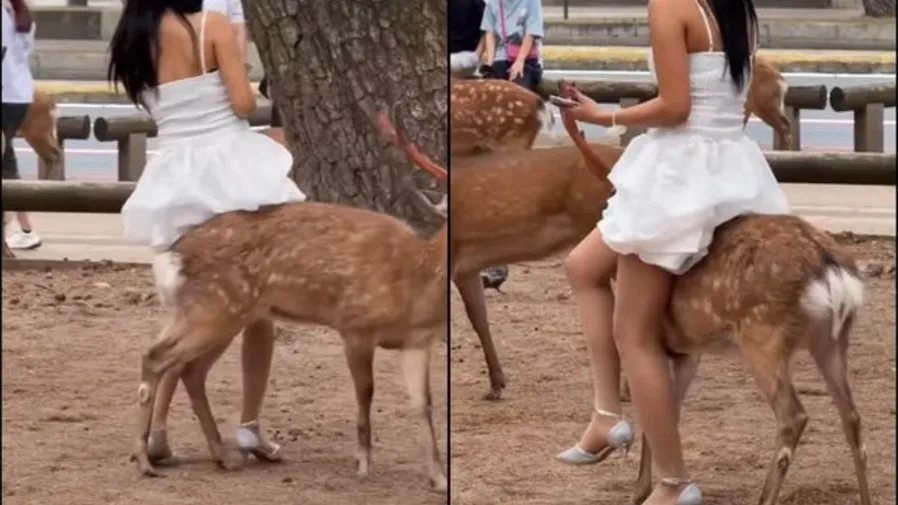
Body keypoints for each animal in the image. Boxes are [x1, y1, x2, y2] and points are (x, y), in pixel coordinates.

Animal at [130, 111, 448, 492]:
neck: (413, 281)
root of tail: (174, 252)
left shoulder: (418, 341)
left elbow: (424, 405)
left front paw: (439, 477)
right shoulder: (354, 325)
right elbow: (365, 393)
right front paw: (362, 466)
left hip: (219, 313)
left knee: (190, 370)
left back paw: (222, 456)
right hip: (213, 307)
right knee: (156, 356)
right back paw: (145, 460)